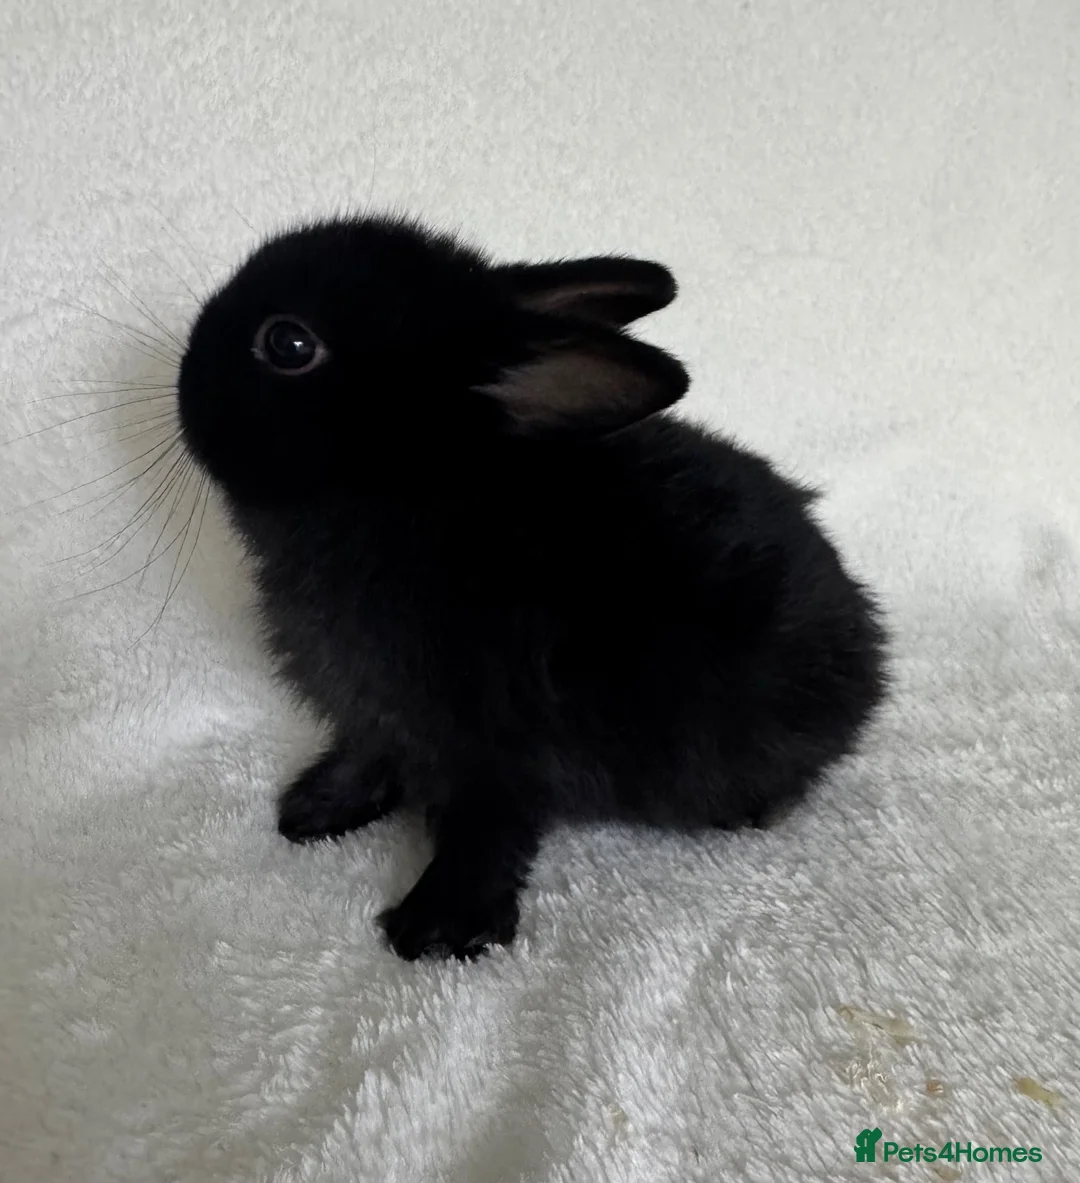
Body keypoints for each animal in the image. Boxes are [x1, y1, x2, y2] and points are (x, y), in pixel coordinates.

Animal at [176, 214, 887, 961]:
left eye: (288, 343)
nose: (185, 367)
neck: (407, 494)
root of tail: (871, 644)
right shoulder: (377, 718)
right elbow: (368, 761)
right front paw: (312, 810)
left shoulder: (497, 752)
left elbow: (487, 833)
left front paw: (435, 929)